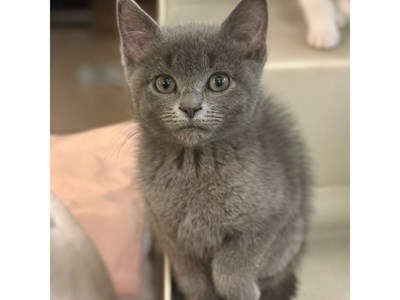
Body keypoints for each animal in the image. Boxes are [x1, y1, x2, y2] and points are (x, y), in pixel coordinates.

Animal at [117, 0, 310, 300]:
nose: (190, 107)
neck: (195, 166)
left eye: (219, 81)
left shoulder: (274, 217)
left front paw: (240, 289)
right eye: (164, 83)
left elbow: (231, 266)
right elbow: (192, 278)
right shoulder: (165, 229)